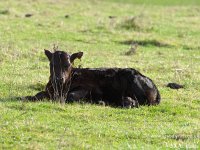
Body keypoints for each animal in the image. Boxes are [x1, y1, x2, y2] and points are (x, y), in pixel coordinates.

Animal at [25, 49, 161, 108]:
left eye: (68, 65)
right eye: (52, 64)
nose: (58, 79)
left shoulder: (89, 88)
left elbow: (71, 96)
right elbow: (37, 95)